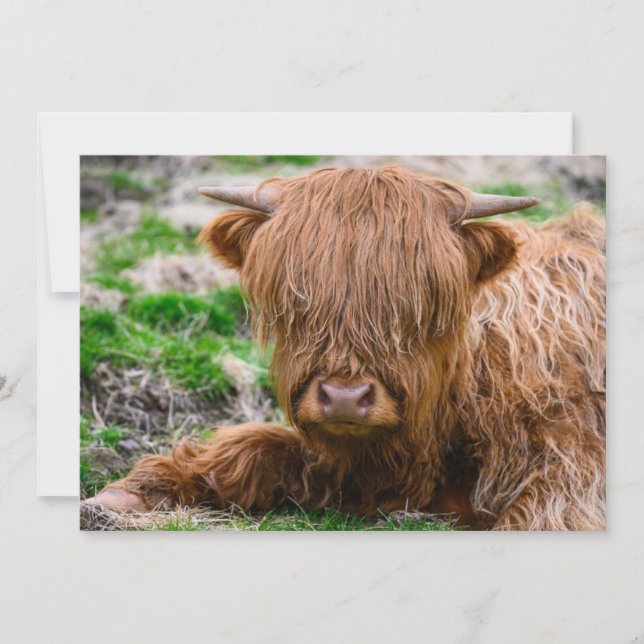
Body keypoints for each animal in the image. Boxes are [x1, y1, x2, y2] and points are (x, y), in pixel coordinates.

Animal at [89, 166, 606, 530]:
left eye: (419, 308)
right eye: (297, 304)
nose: (343, 399)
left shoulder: (571, 474)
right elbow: (254, 445)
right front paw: (133, 493)